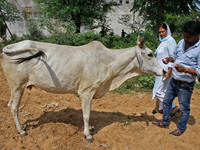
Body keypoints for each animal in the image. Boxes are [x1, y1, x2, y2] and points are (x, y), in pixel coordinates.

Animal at [1, 38, 162, 141]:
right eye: (150, 54)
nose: (163, 70)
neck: (108, 62)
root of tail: (8, 48)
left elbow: (87, 114)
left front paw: (89, 129)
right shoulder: (86, 92)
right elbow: (86, 115)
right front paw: (88, 135)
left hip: (17, 88)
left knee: (10, 105)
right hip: (17, 86)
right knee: (14, 107)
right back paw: (21, 131)